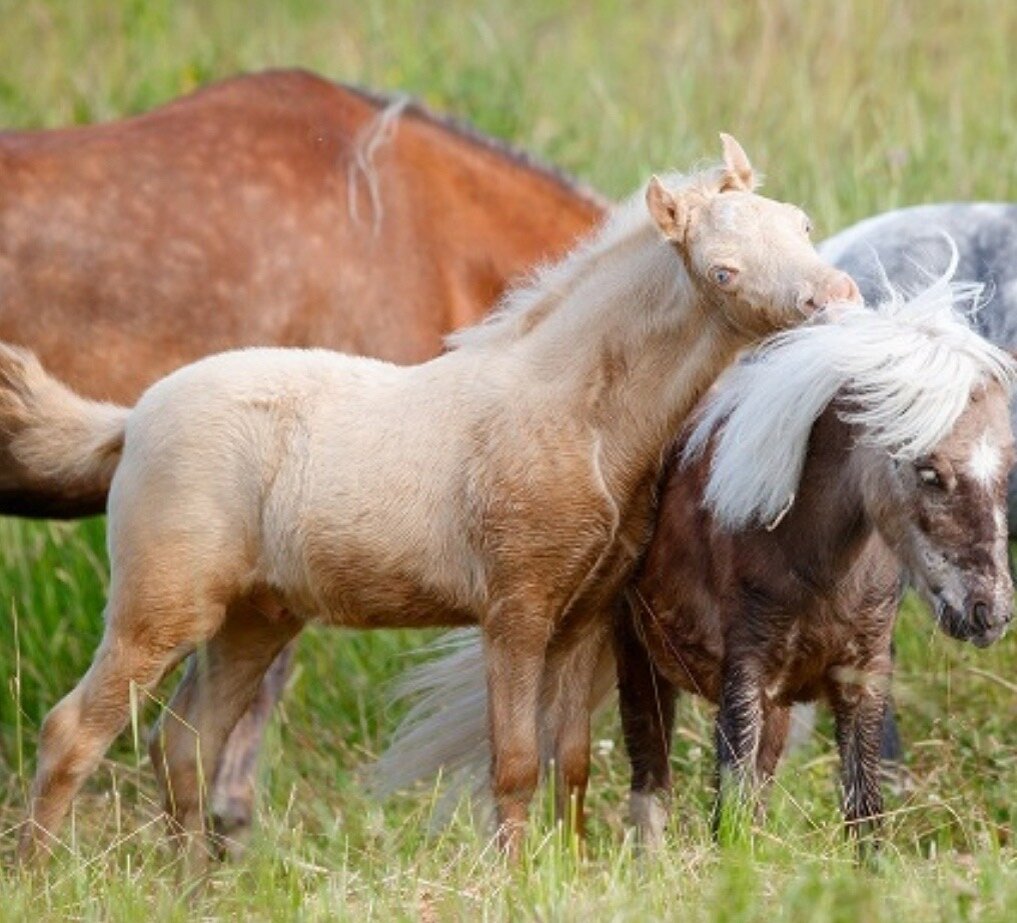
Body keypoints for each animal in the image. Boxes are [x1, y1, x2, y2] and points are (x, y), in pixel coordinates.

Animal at [7, 137, 858, 866]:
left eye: (799, 223)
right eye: (722, 271)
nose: (837, 298)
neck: (575, 413)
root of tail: (131, 419)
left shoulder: (582, 616)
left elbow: (572, 762)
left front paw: (571, 870)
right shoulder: (515, 611)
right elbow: (513, 761)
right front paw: (516, 881)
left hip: (254, 618)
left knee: (185, 742)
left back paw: (192, 887)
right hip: (160, 607)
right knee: (72, 731)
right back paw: (39, 878)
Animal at [376, 276, 1016, 857]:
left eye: (1005, 469)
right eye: (928, 470)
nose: (990, 612)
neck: (812, 562)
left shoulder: (859, 679)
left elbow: (863, 818)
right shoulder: (744, 679)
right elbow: (725, 818)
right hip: (640, 665)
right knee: (651, 785)